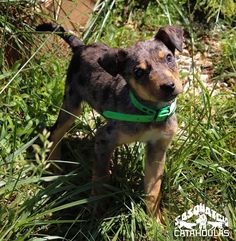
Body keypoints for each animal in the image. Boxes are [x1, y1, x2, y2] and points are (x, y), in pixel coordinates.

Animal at [36, 23, 183, 221]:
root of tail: (81, 46)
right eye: (138, 72)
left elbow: (153, 191)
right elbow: (99, 177)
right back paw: (55, 166)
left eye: (168, 57)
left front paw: (155, 222)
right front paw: (96, 209)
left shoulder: (158, 148)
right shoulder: (104, 139)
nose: (168, 86)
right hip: (72, 105)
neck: (151, 111)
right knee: (55, 132)